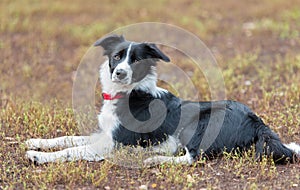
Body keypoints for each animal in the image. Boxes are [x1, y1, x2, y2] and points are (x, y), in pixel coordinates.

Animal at [25, 34, 300, 165]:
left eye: (136, 60)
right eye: (117, 56)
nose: (119, 73)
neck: (129, 93)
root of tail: (257, 122)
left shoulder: (110, 144)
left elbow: (72, 150)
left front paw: (39, 156)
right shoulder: (104, 134)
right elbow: (67, 138)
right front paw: (37, 142)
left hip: (197, 124)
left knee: (192, 158)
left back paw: (155, 159)